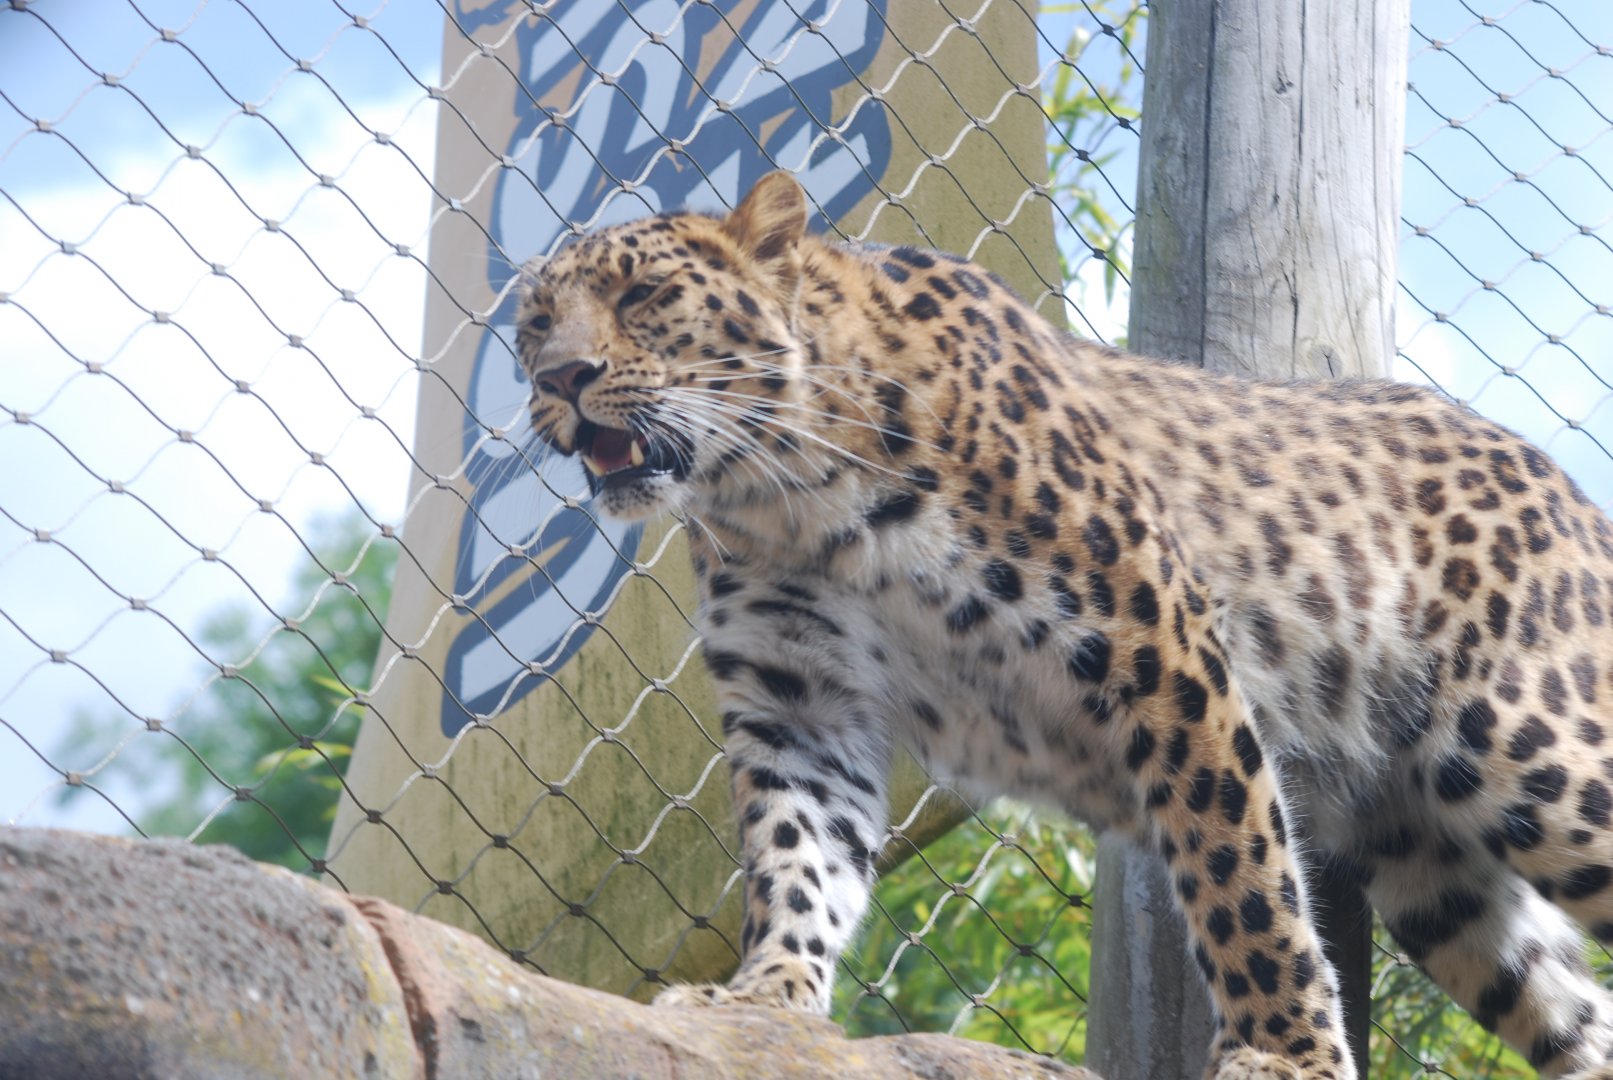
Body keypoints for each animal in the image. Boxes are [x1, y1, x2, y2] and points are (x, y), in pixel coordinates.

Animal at [515, 170, 1613, 1080]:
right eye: (532, 325)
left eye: (642, 297)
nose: (559, 379)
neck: (788, 495)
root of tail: (1567, 493)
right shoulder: (800, 703)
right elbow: (797, 859)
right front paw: (762, 1002)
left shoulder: (1161, 645)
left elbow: (1239, 874)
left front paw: (1285, 1054)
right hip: (1433, 870)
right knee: (1574, 1012)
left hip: (1529, 751)